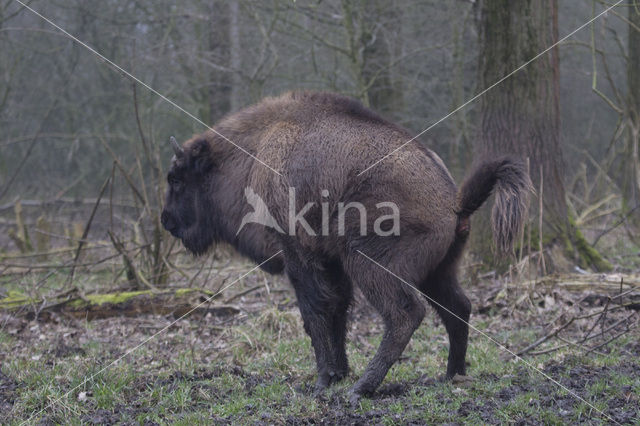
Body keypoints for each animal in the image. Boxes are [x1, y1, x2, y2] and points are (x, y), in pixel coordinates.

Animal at [162, 90, 532, 402]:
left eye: (178, 179)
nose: (167, 221)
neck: (255, 155)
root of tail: (454, 203)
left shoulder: (300, 256)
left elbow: (316, 312)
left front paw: (324, 379)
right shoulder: (330, 262)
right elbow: (337, 309)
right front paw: (337, 373)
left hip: (369, 262)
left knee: (405, 313)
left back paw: (363, 387)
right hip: (438, 271)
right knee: (458, 307)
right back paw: (451, 375)